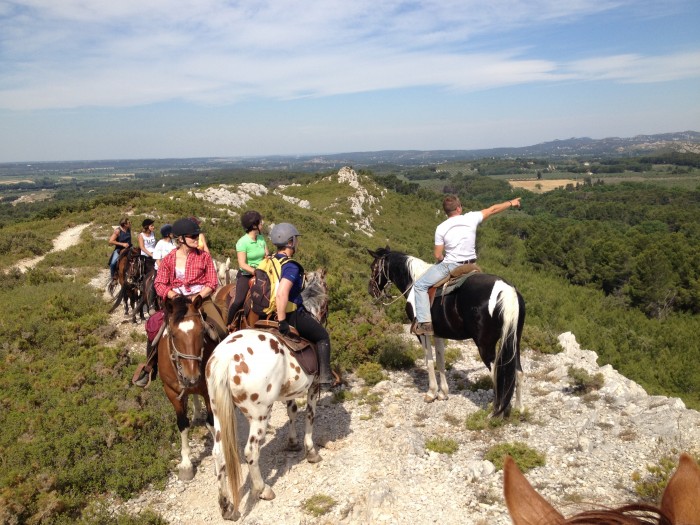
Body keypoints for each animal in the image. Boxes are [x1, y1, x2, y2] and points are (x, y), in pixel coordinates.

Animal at [159, 294, 219, 478]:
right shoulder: (172, 392)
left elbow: (212, 422)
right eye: (173, 335)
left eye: (201, 332)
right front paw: (185, 464)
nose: (191, 376)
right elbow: (182, 424)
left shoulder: (208, 390)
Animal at [370, 248, 524, 416]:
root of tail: (506, 290)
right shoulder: (438, 334)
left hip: (485, 345)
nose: (371, 291)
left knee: (497, 374)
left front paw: (431, 393)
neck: (414, 281)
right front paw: (443, 393)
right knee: (517, 372)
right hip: (514, 341)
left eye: (373, 268)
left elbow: (429, 361)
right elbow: (440, 360)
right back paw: (518, 409)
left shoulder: (422, 333)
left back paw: (495, 413)